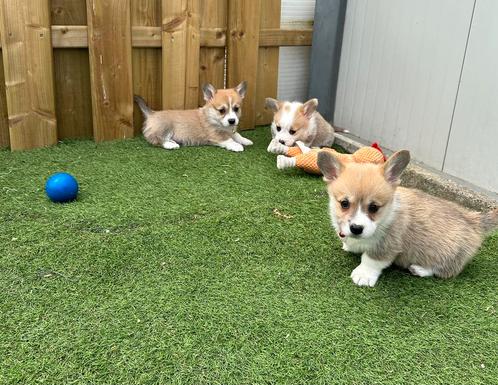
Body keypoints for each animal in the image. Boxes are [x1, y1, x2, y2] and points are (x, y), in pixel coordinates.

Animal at [318, 148, 496, 286]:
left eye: (374, 207)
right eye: (344, 203)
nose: (356, 228)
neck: (385, 217)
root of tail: (474, 220)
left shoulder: (388, 245)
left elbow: (371, 259)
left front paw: (363, 275)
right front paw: (349, 245)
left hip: (446, 253)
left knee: (445, 270)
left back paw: (420, 269)